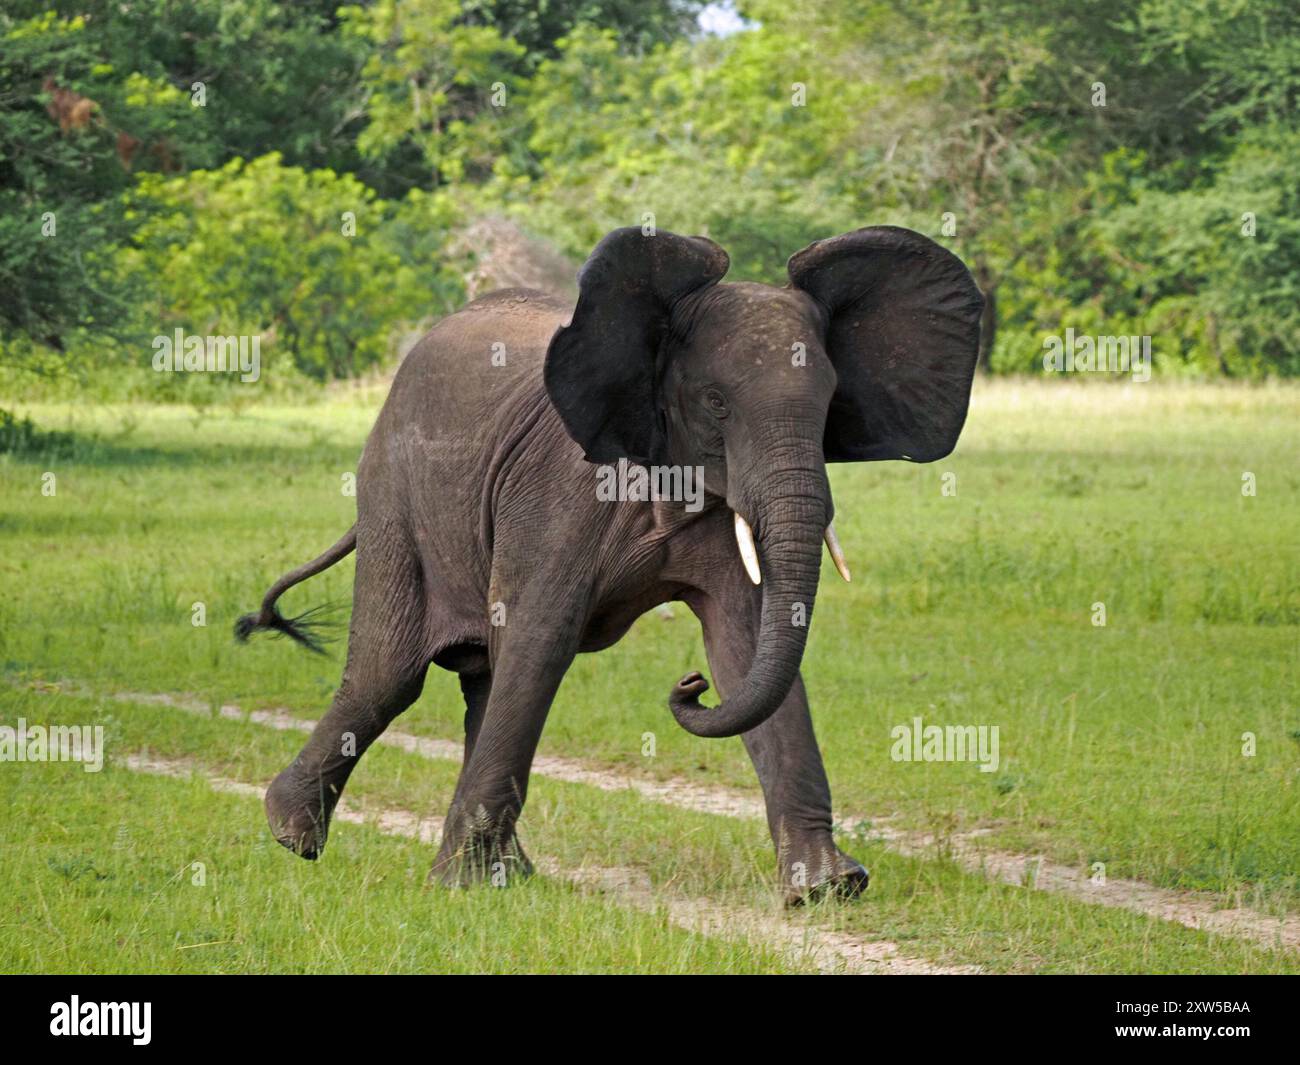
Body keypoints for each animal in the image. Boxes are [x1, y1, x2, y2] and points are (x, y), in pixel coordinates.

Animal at [239, 222, 977, 899]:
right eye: (716, 402)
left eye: (828, 406)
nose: (687, 685)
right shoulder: (562, 494)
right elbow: (543, 638)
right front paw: (458, 886)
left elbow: (745, 646)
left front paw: (827, 887)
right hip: (394, 496)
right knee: (389, 673)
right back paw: (293, 833)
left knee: (481, 676)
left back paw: (508, 871)